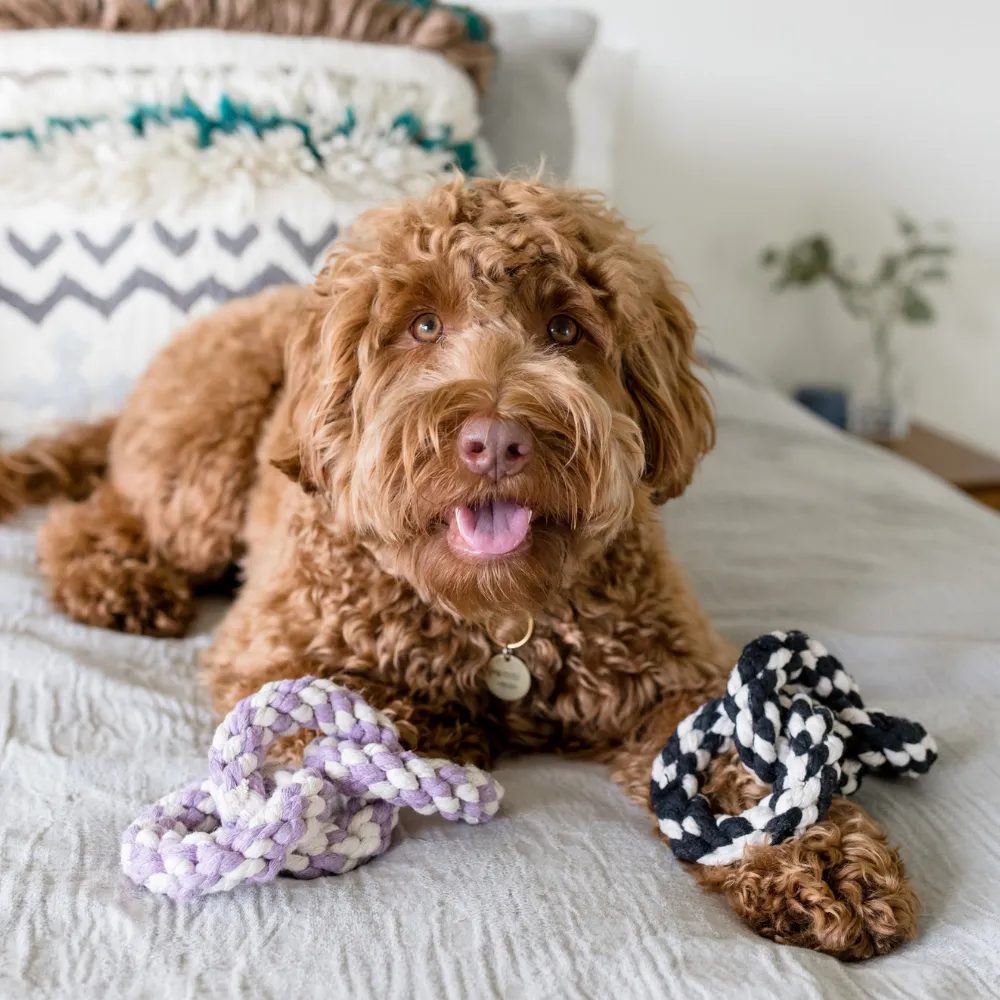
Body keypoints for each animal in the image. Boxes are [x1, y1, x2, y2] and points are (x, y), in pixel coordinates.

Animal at [0, 176, 916, 956]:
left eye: (566, 328)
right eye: (422, 324)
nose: (497, 440)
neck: (498, 617)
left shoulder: (677, 678)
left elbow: (744, 762)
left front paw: (817, 859)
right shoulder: (274, 649)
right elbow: (348, 709)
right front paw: (434, 731)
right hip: (201, 466)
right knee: (95, 517)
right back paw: (117, 583)